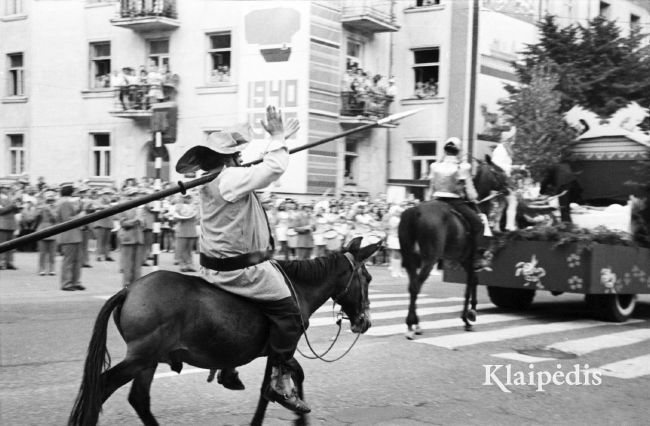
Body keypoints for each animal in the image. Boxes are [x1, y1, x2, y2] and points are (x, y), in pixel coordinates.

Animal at [67, 238, 380, 424]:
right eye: (367, 277)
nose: (364, 321)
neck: (298, 287)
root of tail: (129, 289)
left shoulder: (273, 352)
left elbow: (277, 385)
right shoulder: (283, 345)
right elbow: (281, 383)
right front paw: (295, 409)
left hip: (148, 361)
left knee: (139, 400)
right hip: (141, 358)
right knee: (102, 386)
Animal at [398, 160, 508, 336]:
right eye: (497, 171)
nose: (508, 187)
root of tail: (415, 210)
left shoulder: (464, 260)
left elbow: (473, 281)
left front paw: (468, 315)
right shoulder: (471, 259)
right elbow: (471, 283)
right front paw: (469, 316)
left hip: (411, 259)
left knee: (412, 285)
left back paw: (414, 323)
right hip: (429, 259)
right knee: (416, 286)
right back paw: (412, 325)